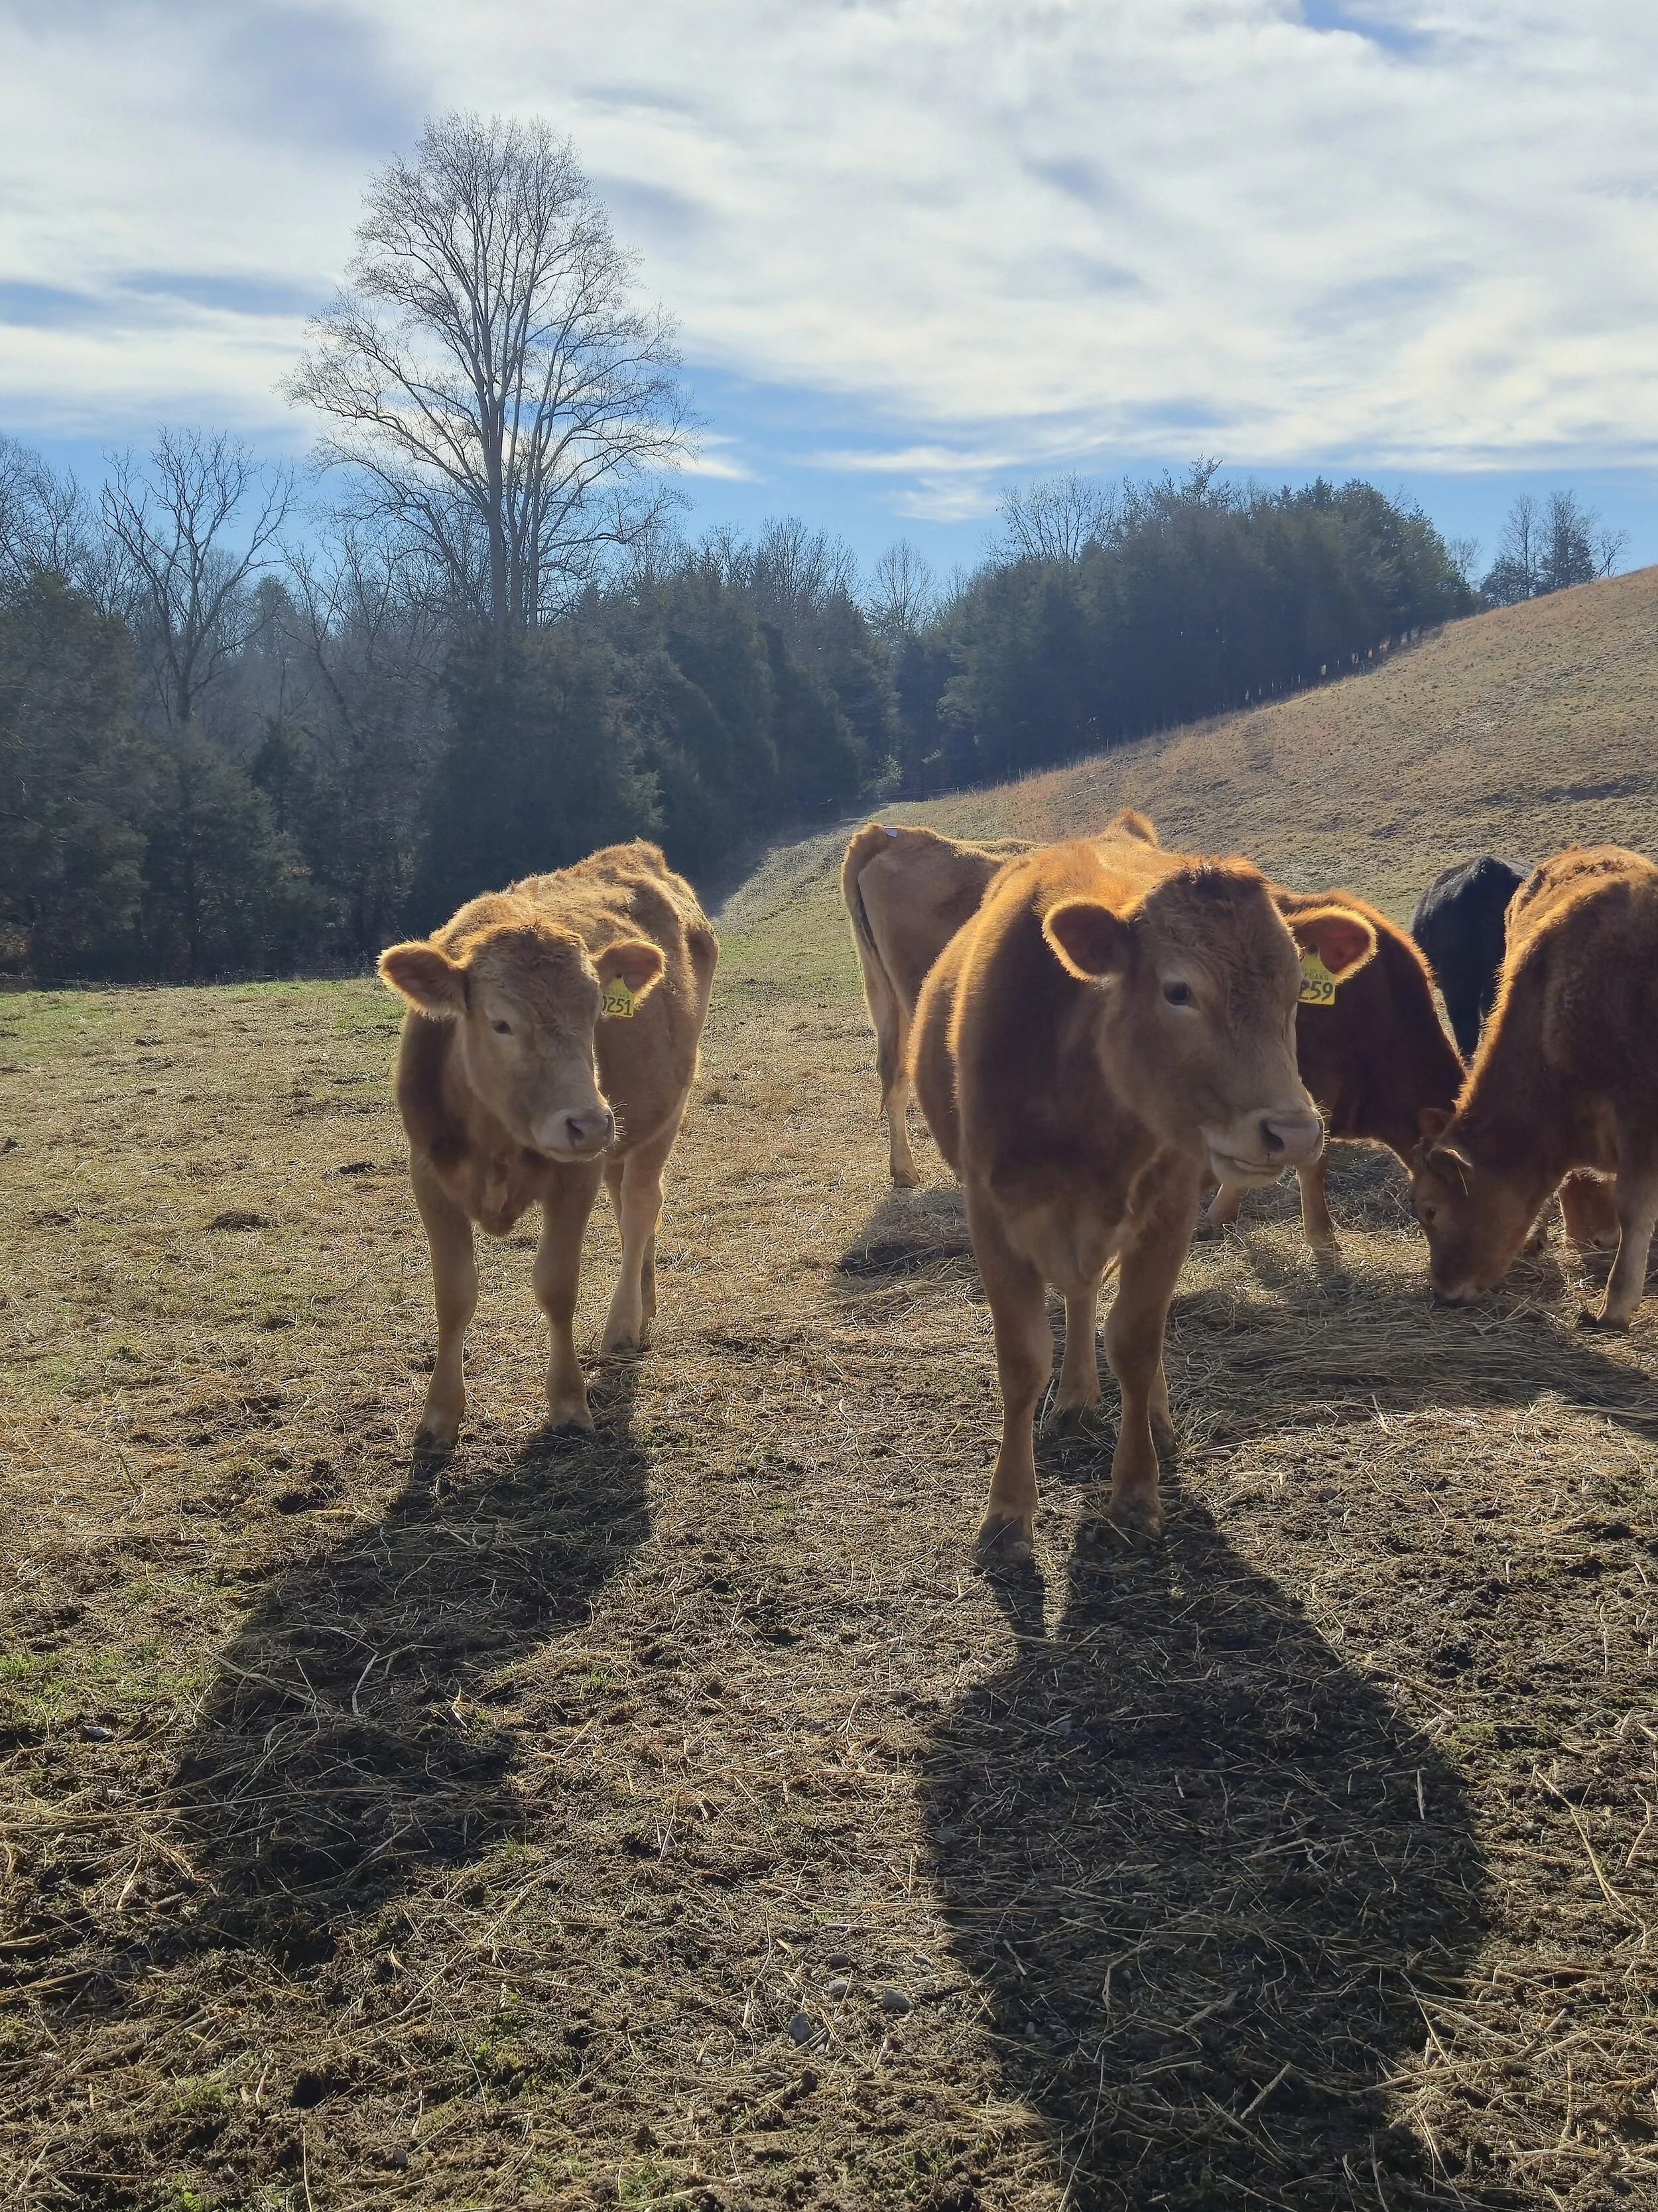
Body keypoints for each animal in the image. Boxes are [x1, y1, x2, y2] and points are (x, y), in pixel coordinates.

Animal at [378, 842, 717, 1448]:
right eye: (500, 1023)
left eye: (597, 1011)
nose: (589, 1122)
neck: (494, 1135)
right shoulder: (428, 1174)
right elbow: (454, 1293)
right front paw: (439, 1413)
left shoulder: (575, 1176)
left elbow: (556, 1285)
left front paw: (567, 1401)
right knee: (630, 1208)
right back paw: (645, 1299)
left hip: (663, 1112)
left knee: (640, 1207)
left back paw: (624, 1322)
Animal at [909, 836, 1378, 1557]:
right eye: (1177, 990)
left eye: (1297, 990)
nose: (1295, 1132)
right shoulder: (990, 1214)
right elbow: (1021, 1360)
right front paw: (1008, 1508)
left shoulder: (1168, 1212)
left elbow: (1134, 1340)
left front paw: (1134, 1488)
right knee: (1077, 1298)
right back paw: (1076, 1394)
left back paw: (1149, 1416)